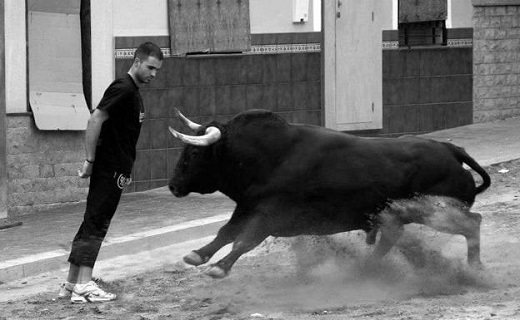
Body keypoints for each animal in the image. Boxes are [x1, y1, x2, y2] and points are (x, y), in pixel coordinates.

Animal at [169, 109, 490, 278]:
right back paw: (366, 268)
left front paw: (219, 268)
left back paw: (475, 267)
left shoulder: (270, 214)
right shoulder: (248, 207)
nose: (172, 185)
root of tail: (451, 150)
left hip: (436, 211)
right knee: (393, 236)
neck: (268, 157)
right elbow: (226, 232)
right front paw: (197, 255)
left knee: (473, 223)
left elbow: (244, 239)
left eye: (194, 154)